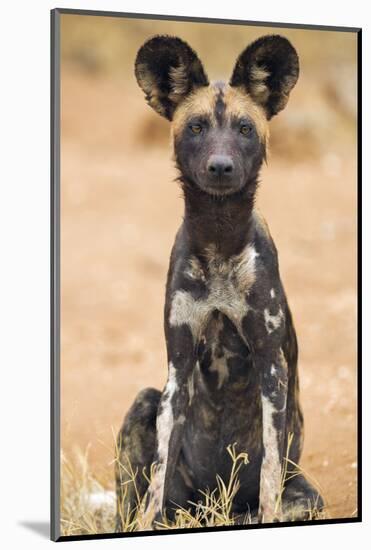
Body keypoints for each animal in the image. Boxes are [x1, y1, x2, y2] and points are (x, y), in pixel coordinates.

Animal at [115, 33, 324, 532]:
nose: (221, 166)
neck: (219, 241)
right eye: (196, 127)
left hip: (306, 497)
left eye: (245, 129)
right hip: (147, 404)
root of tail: (214, 506)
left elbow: (269, 473)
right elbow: (157, 479)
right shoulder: (177, 369)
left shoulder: (272, 367)